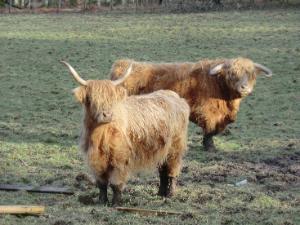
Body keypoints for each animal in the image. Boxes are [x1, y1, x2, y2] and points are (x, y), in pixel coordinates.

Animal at [61, 60, 190, 205]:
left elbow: (115, 183)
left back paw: (170, 194)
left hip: (175, 147)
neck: (100, 135)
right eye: (93, 98)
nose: (107, 115)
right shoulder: (96, 160)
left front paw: (116, 202)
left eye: (112, 98)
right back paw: (160, 193)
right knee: (162, 170)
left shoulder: (120, 158)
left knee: (172, 170)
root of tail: (175, 96)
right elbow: (101, 183)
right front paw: (102, 201)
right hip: (162, 148)